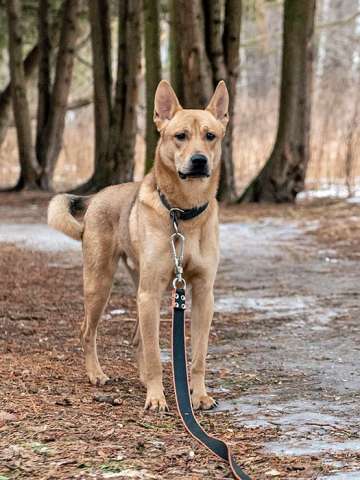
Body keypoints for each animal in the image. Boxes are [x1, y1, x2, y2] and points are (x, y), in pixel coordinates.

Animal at [47, 80, 229, 410]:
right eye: (180, 136)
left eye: (210, 135)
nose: (199, 161)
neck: (183, 213)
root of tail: (98, 196)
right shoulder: (151, 292)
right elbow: (157, 355)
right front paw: (156, 398)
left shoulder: (203, 294)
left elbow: (198, 356)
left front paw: (199, 395)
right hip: (102, 285)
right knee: (87, 331)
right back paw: (96, 374)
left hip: (144, 290)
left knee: (136, 337)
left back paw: (142, 378)